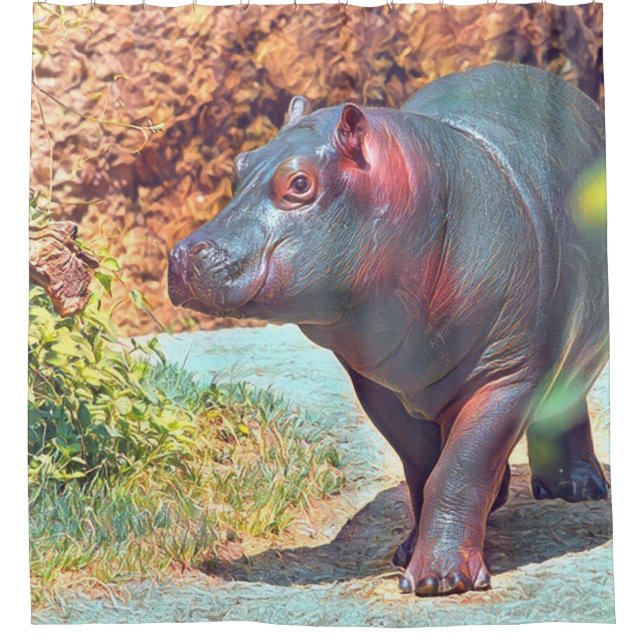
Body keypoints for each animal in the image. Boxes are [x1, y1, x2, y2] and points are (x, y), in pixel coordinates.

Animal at [168, 62, 608, 597]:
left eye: (299, 182)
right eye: (239, 165)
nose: (183, 253)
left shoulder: (508, 376)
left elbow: (460, 469)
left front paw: (440, 580)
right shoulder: (378, 385)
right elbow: (422, 467)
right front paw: (407, 553)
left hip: (573, 352)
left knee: (566, 399)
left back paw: (577, 489)